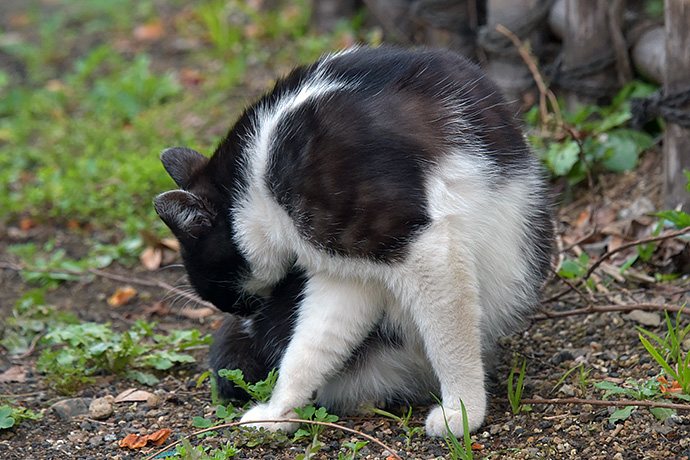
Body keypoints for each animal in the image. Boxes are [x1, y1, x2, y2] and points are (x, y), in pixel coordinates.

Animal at [153, 45, 552, 436]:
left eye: (218, 287)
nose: (242, 315)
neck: (256, 172)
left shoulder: (417, 243)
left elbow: (449, 341)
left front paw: (462, 412)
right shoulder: (345, 272)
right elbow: (313, 343)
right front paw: (278, 412)